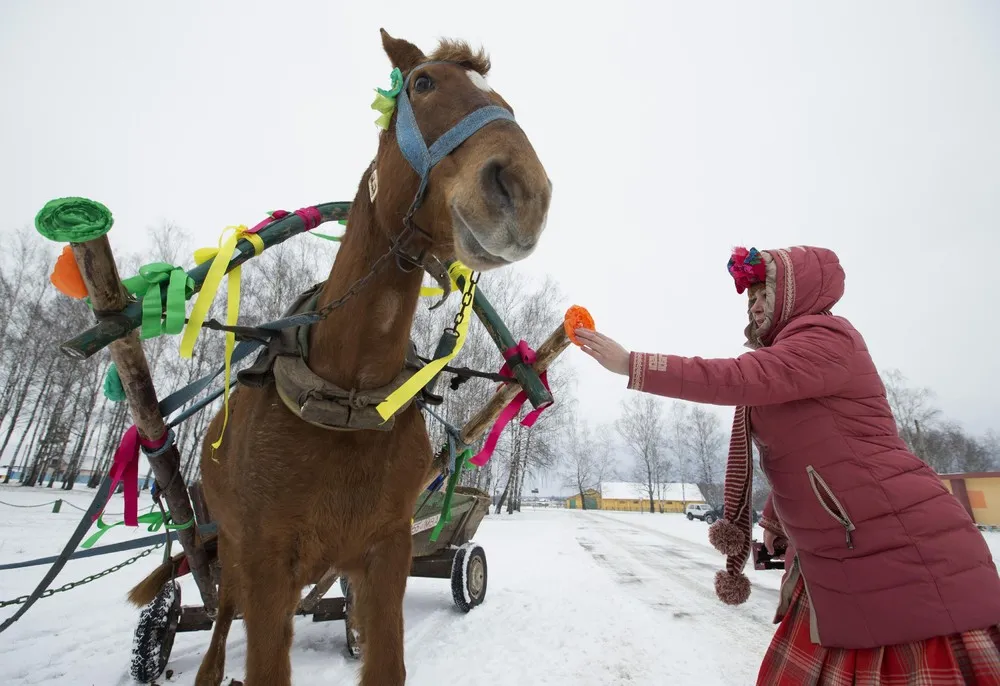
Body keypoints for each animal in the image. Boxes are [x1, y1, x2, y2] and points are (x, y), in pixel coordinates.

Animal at [127, 28, 556, 686]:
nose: (524, 192)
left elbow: (385, 659)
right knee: (219, 629)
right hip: (231, 556)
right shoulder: (267, 563)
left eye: (505, 100)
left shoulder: (386, 552)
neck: (347, 391)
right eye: (421, 83)